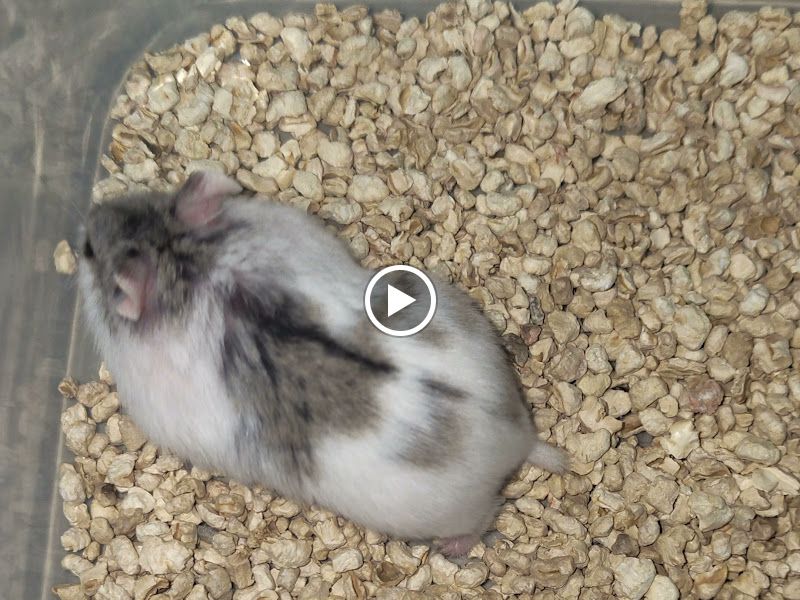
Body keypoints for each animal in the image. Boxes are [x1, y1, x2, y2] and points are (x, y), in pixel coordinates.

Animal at [78, 170, 568, 556]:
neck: (185, 266)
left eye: (88, 250)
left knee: (485, 516)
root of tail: (517, 438)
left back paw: (452, 548)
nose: (92, 214)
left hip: (451, 511)